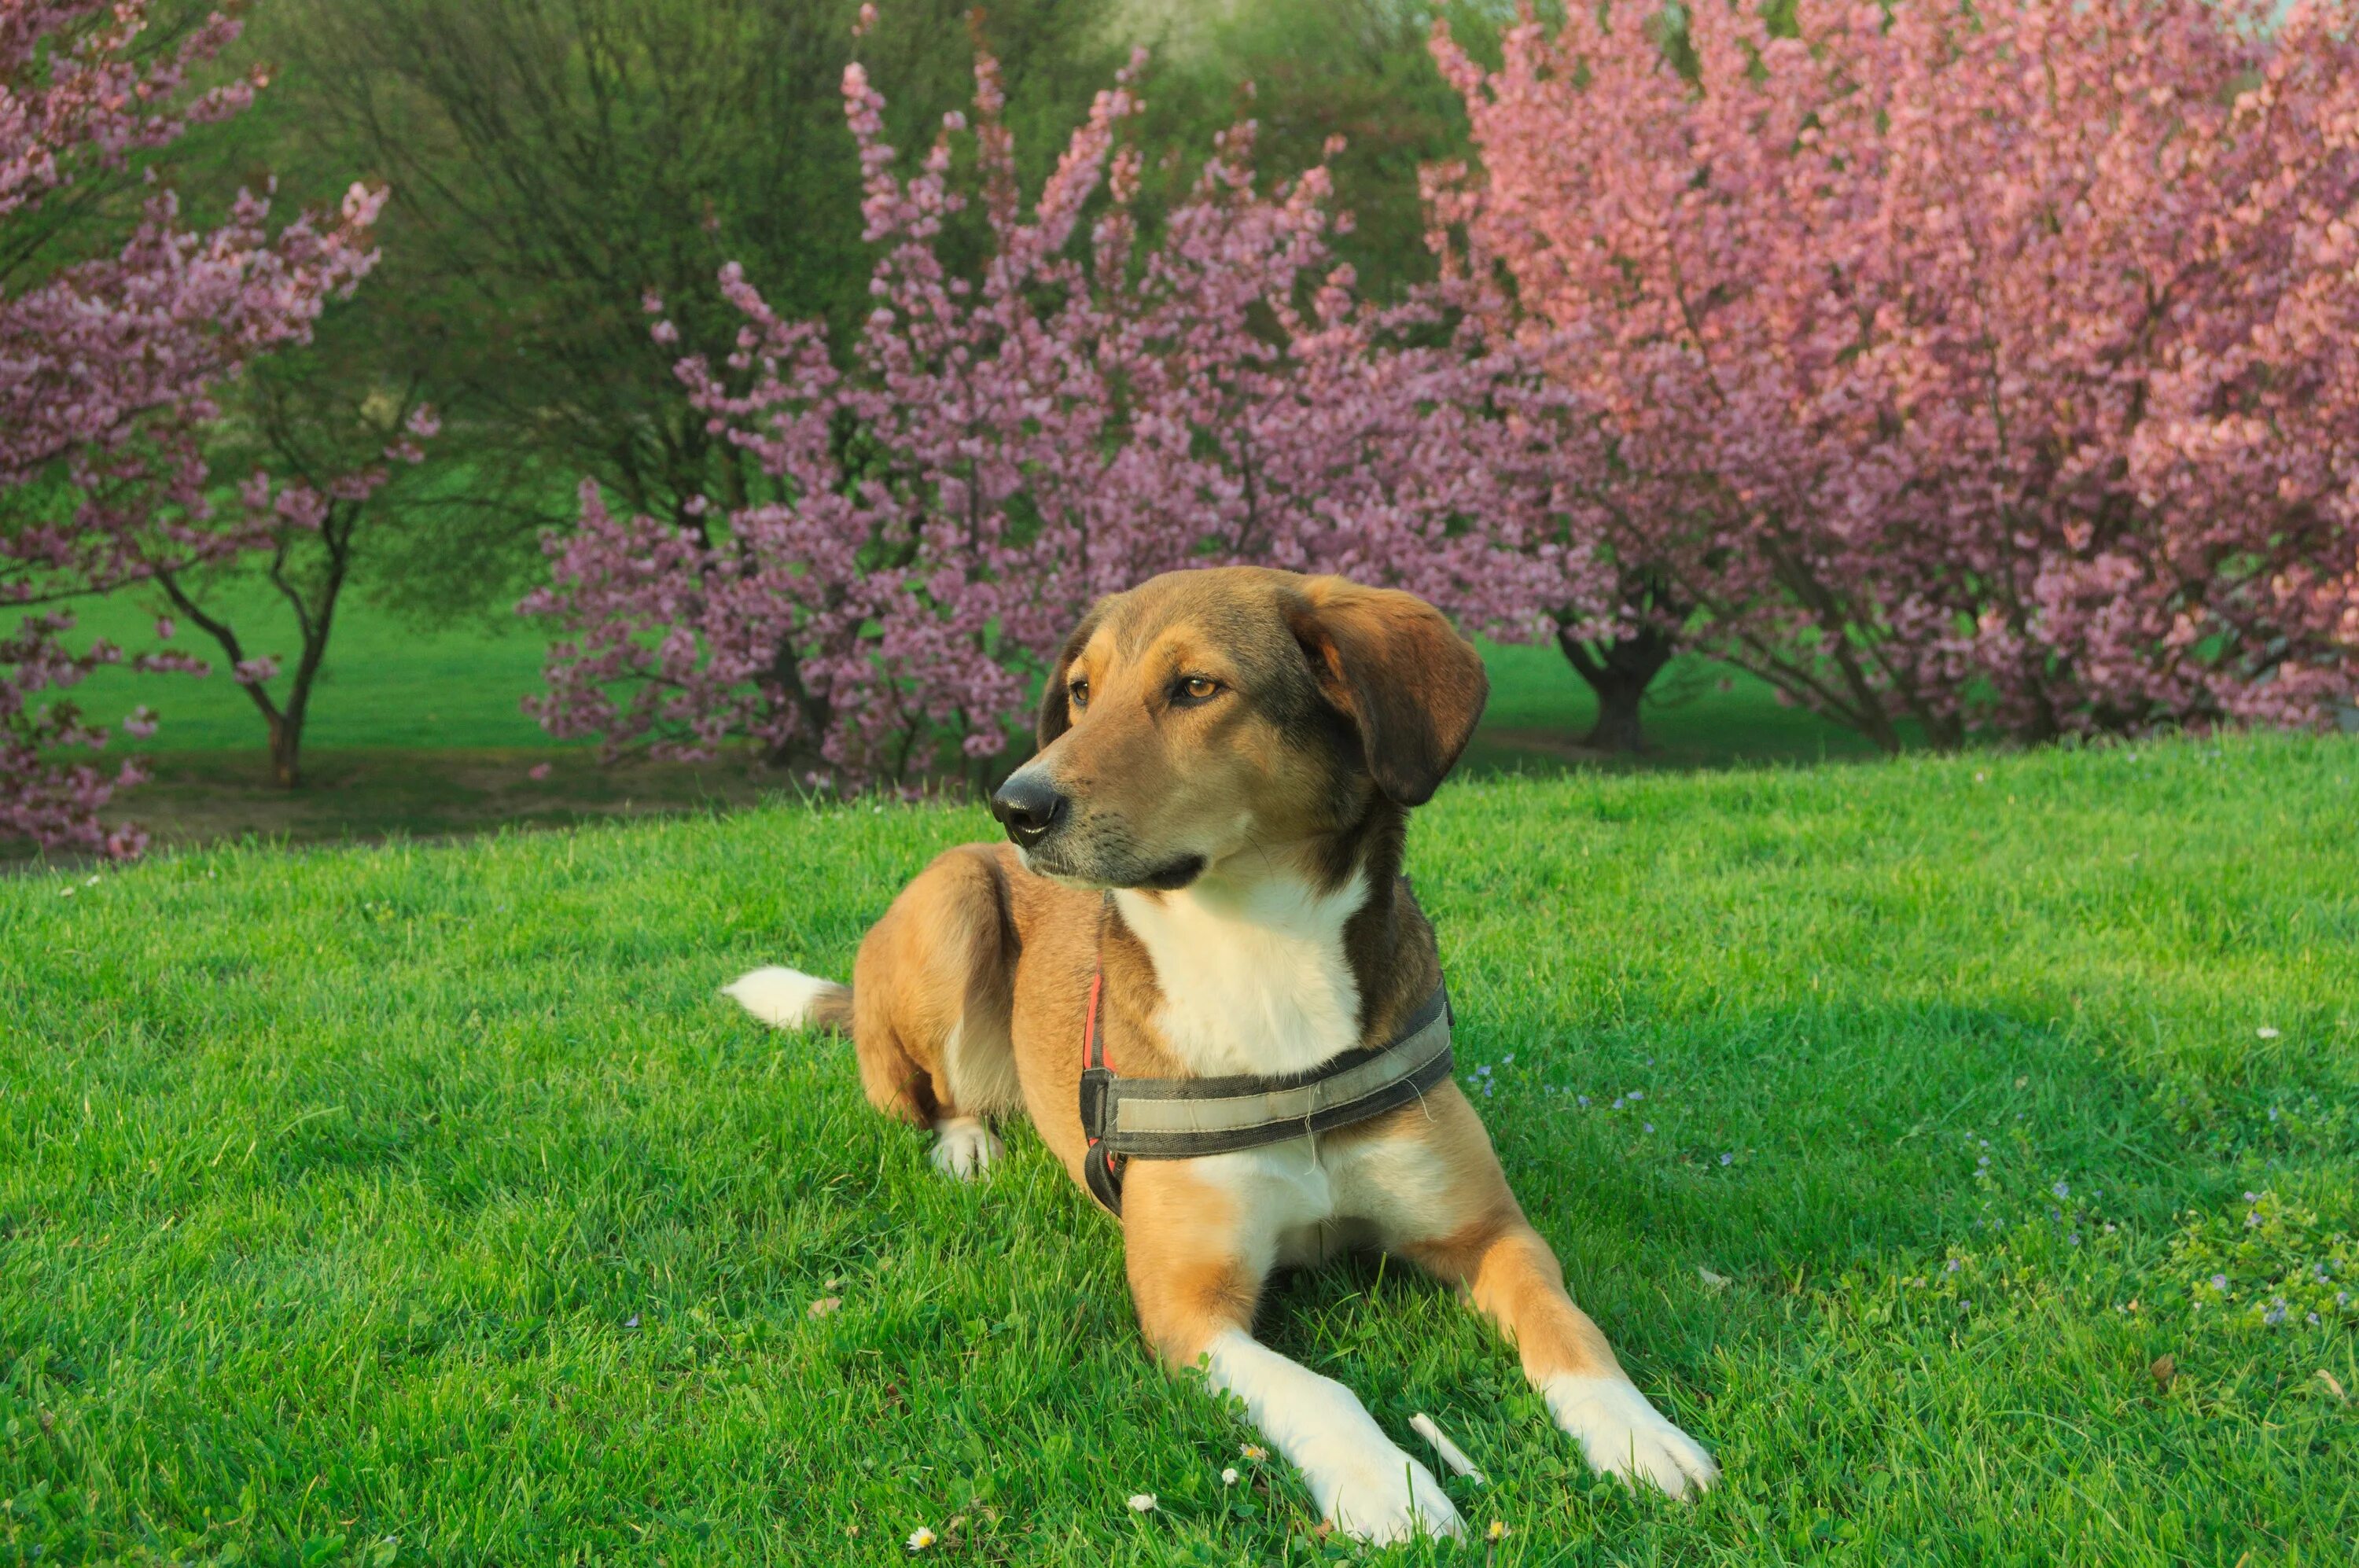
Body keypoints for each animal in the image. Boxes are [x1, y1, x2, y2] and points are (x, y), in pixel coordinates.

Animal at [722, 565, 1717, 1537]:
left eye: (1198, 686)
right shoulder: (1188, 1307)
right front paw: (1387, 1482)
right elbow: (1319, 1388)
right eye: (1080, 692)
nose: (1017, 804)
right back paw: (967, 1144)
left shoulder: (1491, 1231)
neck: (1262, 956)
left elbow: (1567, 1320)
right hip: (953, 902)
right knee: (940, 1091)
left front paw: (1638, 1431)